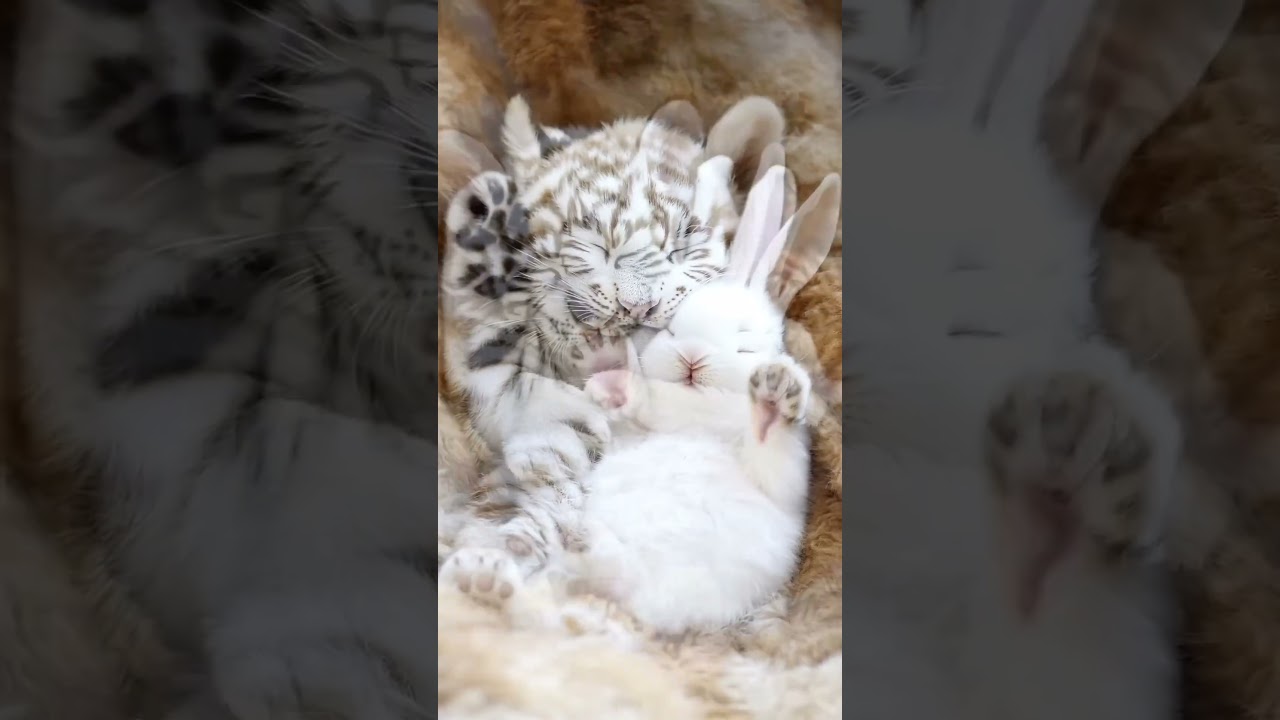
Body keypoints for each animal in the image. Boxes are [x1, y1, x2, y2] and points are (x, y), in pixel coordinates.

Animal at [440, 148, 842, 636]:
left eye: (745, 343)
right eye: (671, 329)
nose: (693, 359)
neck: (695, 407)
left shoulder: (782, 466)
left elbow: (769, 442)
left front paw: (775, 389)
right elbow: (626, 402)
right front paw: (610, 375)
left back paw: (497, 572)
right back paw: (486, 572)